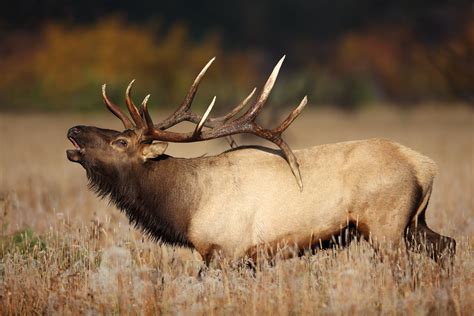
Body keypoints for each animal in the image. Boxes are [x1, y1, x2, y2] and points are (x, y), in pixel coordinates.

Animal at [66, 56, 456, 264]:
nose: (73, 130)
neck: (186, 206)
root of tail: (426, 166)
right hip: (413, 223)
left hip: (384, 225)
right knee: (447, 244)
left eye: (120, 141)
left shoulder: (224, 250)